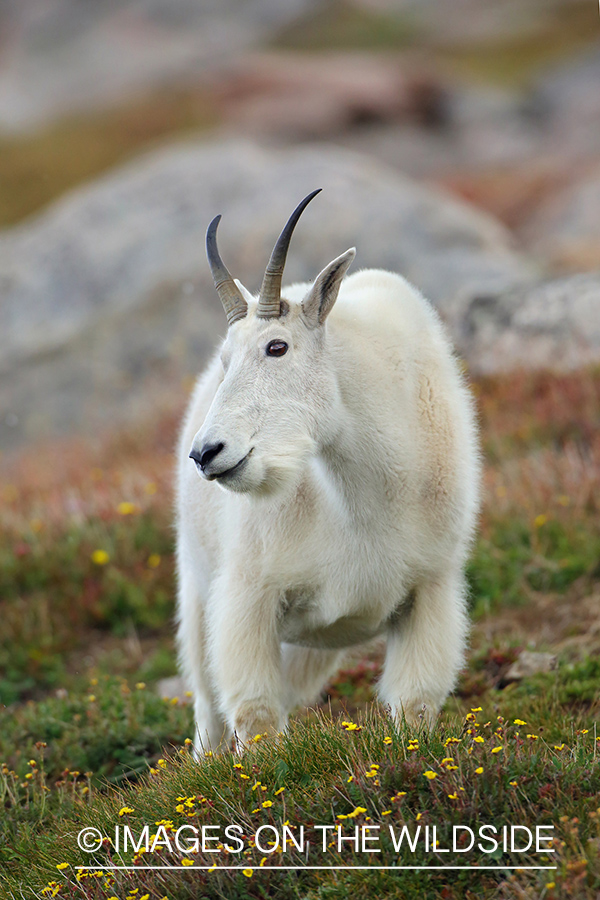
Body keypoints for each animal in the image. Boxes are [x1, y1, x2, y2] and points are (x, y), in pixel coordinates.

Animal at [176, 190, 480, 752]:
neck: (365, 492)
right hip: (197, 587)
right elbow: (256, 715)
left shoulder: (431, 586)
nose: (207, 453)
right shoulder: (248, 593)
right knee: (208, 708)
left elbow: (415, 704)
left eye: (277, 346)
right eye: (226, 359)